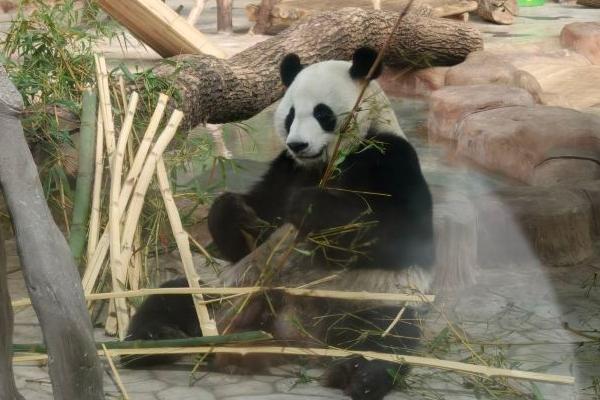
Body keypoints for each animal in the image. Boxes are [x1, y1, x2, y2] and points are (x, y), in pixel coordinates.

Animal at [127, 47, 436, 400]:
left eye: (322, 113)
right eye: (290, 115)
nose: (298, 144)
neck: (324, 165)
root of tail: (295, 334)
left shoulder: (388, 158)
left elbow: (403, 237)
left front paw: (311, 207)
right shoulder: (286, 169)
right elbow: (248, 233)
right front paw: (235, 211)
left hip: (365, 298)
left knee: (387, 335)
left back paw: (358, 374)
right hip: (228, 295)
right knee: (174, 296)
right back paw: (152, 342)